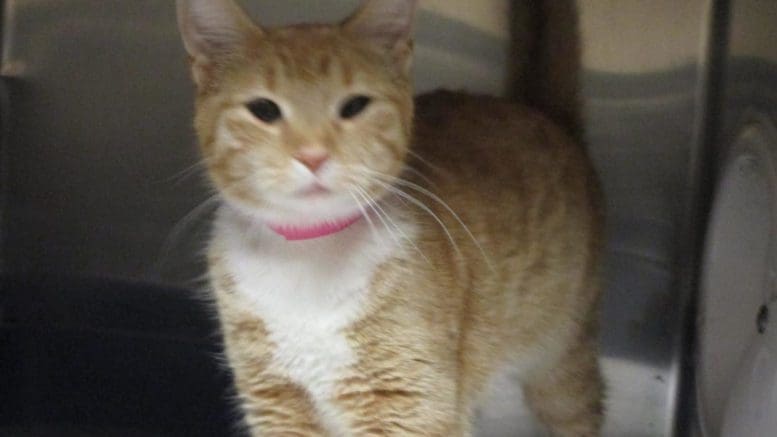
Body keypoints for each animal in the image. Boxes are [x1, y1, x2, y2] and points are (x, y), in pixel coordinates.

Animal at [177, 0, 608, 434]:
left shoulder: (410, 404)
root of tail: (540, 111)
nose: (313, 156)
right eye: (263, 110)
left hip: (560, 364)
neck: (307, 258)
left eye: (354, 106)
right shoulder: (275, 402)